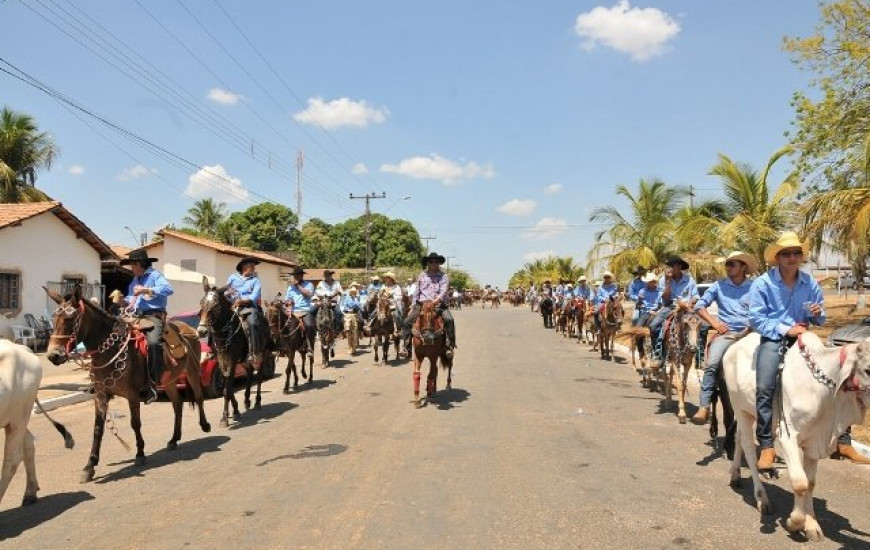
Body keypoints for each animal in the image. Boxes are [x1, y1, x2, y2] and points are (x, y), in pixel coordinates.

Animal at [44, 284, 213, 484]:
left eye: (70, 319)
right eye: (54, 319)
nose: (53, 355)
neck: (110, 350)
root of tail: (188, 329)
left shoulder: (132, 395)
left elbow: (135, 423)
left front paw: (140, 453)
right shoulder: (101, 395)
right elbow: (98, 429)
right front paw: (90, 466)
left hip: (193, 372)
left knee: (199, 397)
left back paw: (205, 425)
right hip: (169, 381)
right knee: (177, 405)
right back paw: (174, 439)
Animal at [198, 278, 276, 430]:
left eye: (216, 306)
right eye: (201, 303)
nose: (201, 331)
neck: (224, 335)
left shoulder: (232, 361)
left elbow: (227, 390)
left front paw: (224, 417)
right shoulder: (221, 362)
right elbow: (228, 387)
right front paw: (235, 411)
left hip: (262, 354)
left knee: (259, 376)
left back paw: (257, 402)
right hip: (245, 360)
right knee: (250, 373)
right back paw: (246, 400)